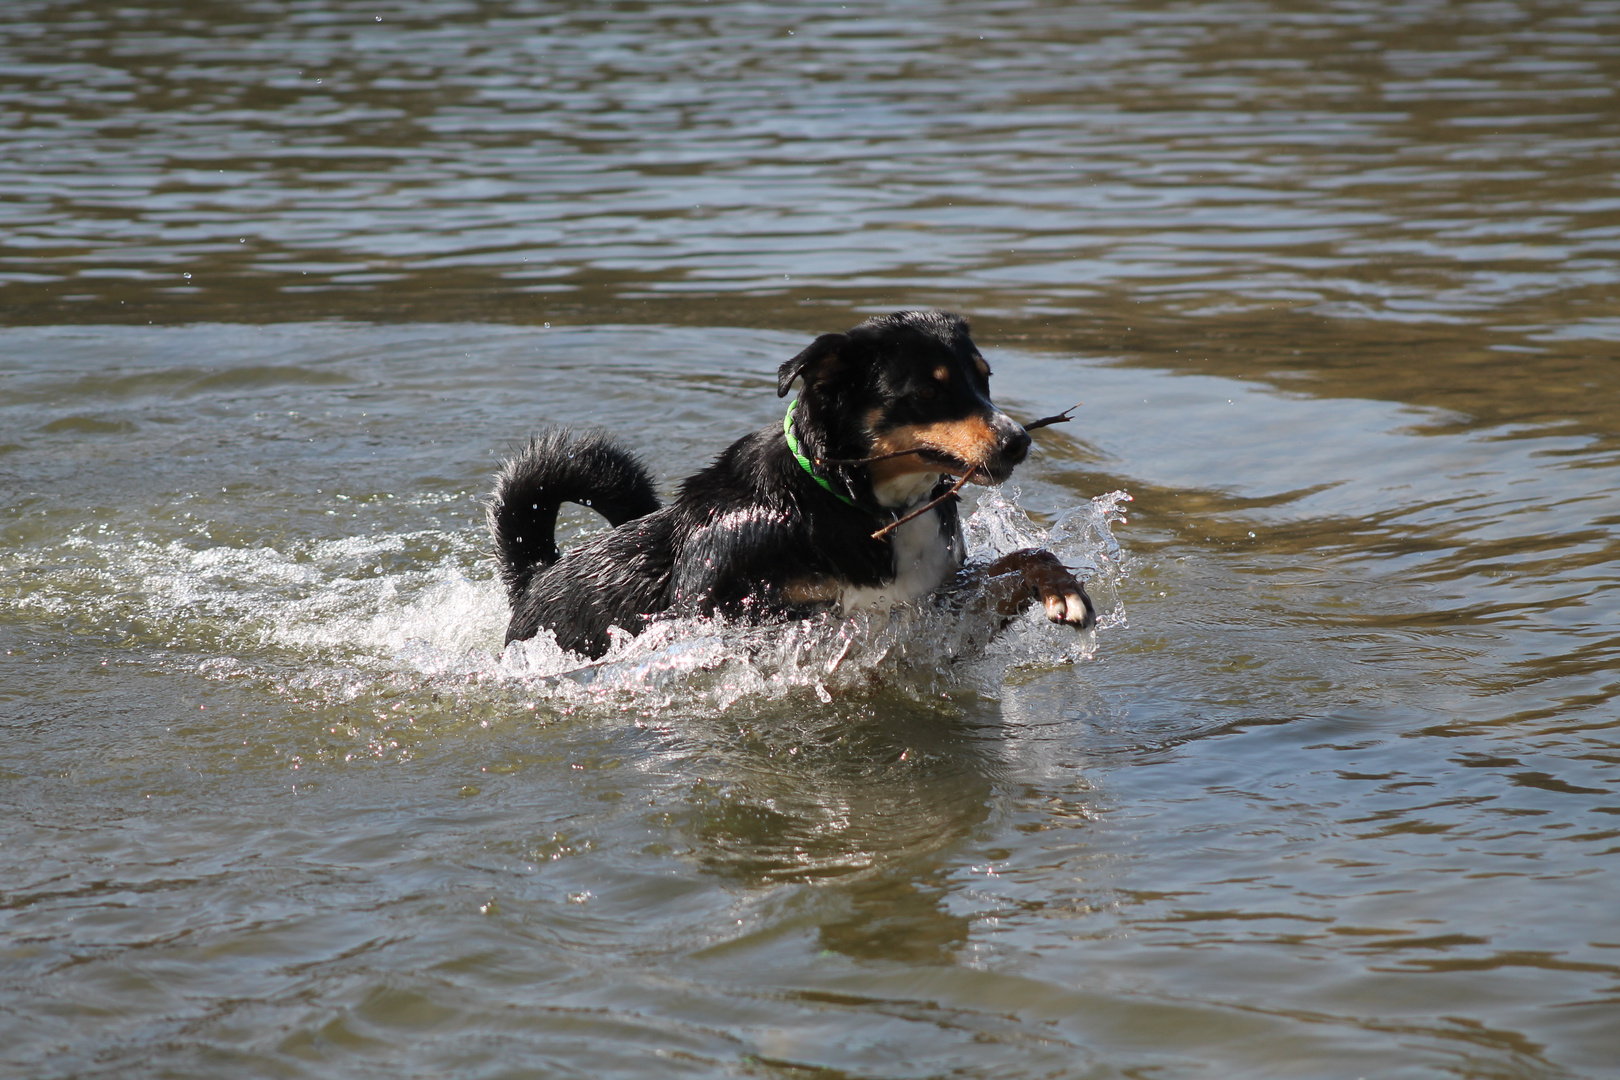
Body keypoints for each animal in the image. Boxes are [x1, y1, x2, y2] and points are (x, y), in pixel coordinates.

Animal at [489, 306, 1101, 660]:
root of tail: (534, 576)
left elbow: (1029, 556)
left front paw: (1064, 592)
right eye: (927, 392)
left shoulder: (940, 602)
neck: (863, 507)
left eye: (984, 379)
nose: (1017, 440)